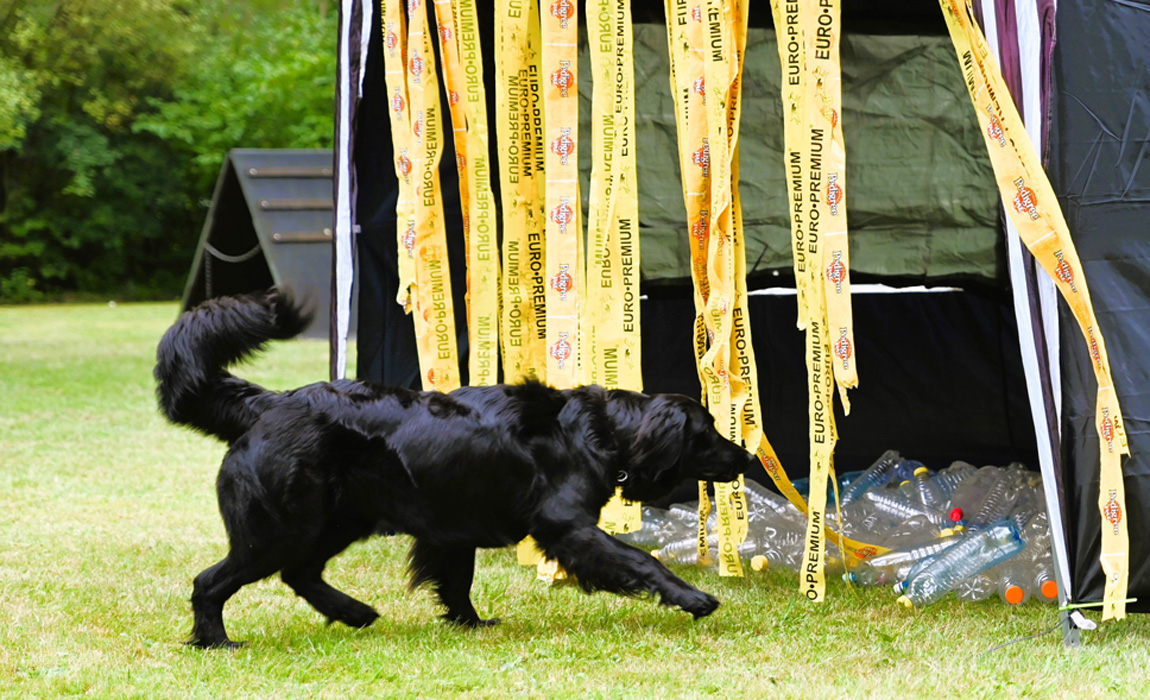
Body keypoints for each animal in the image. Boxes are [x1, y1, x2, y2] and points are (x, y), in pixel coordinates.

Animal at [155, 286, 763, 648]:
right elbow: (640, 560)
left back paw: (353, 613)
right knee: (214, 581)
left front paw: (468, 622)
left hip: (335, 520)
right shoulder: (565, 526)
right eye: (707, 430)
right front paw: (693, 598)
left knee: (300, 574)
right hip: (280, 526)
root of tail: (268, 403)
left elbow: (456, 580)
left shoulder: (453, 528)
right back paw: (216, 640)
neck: (601, 429)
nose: (749, 456)